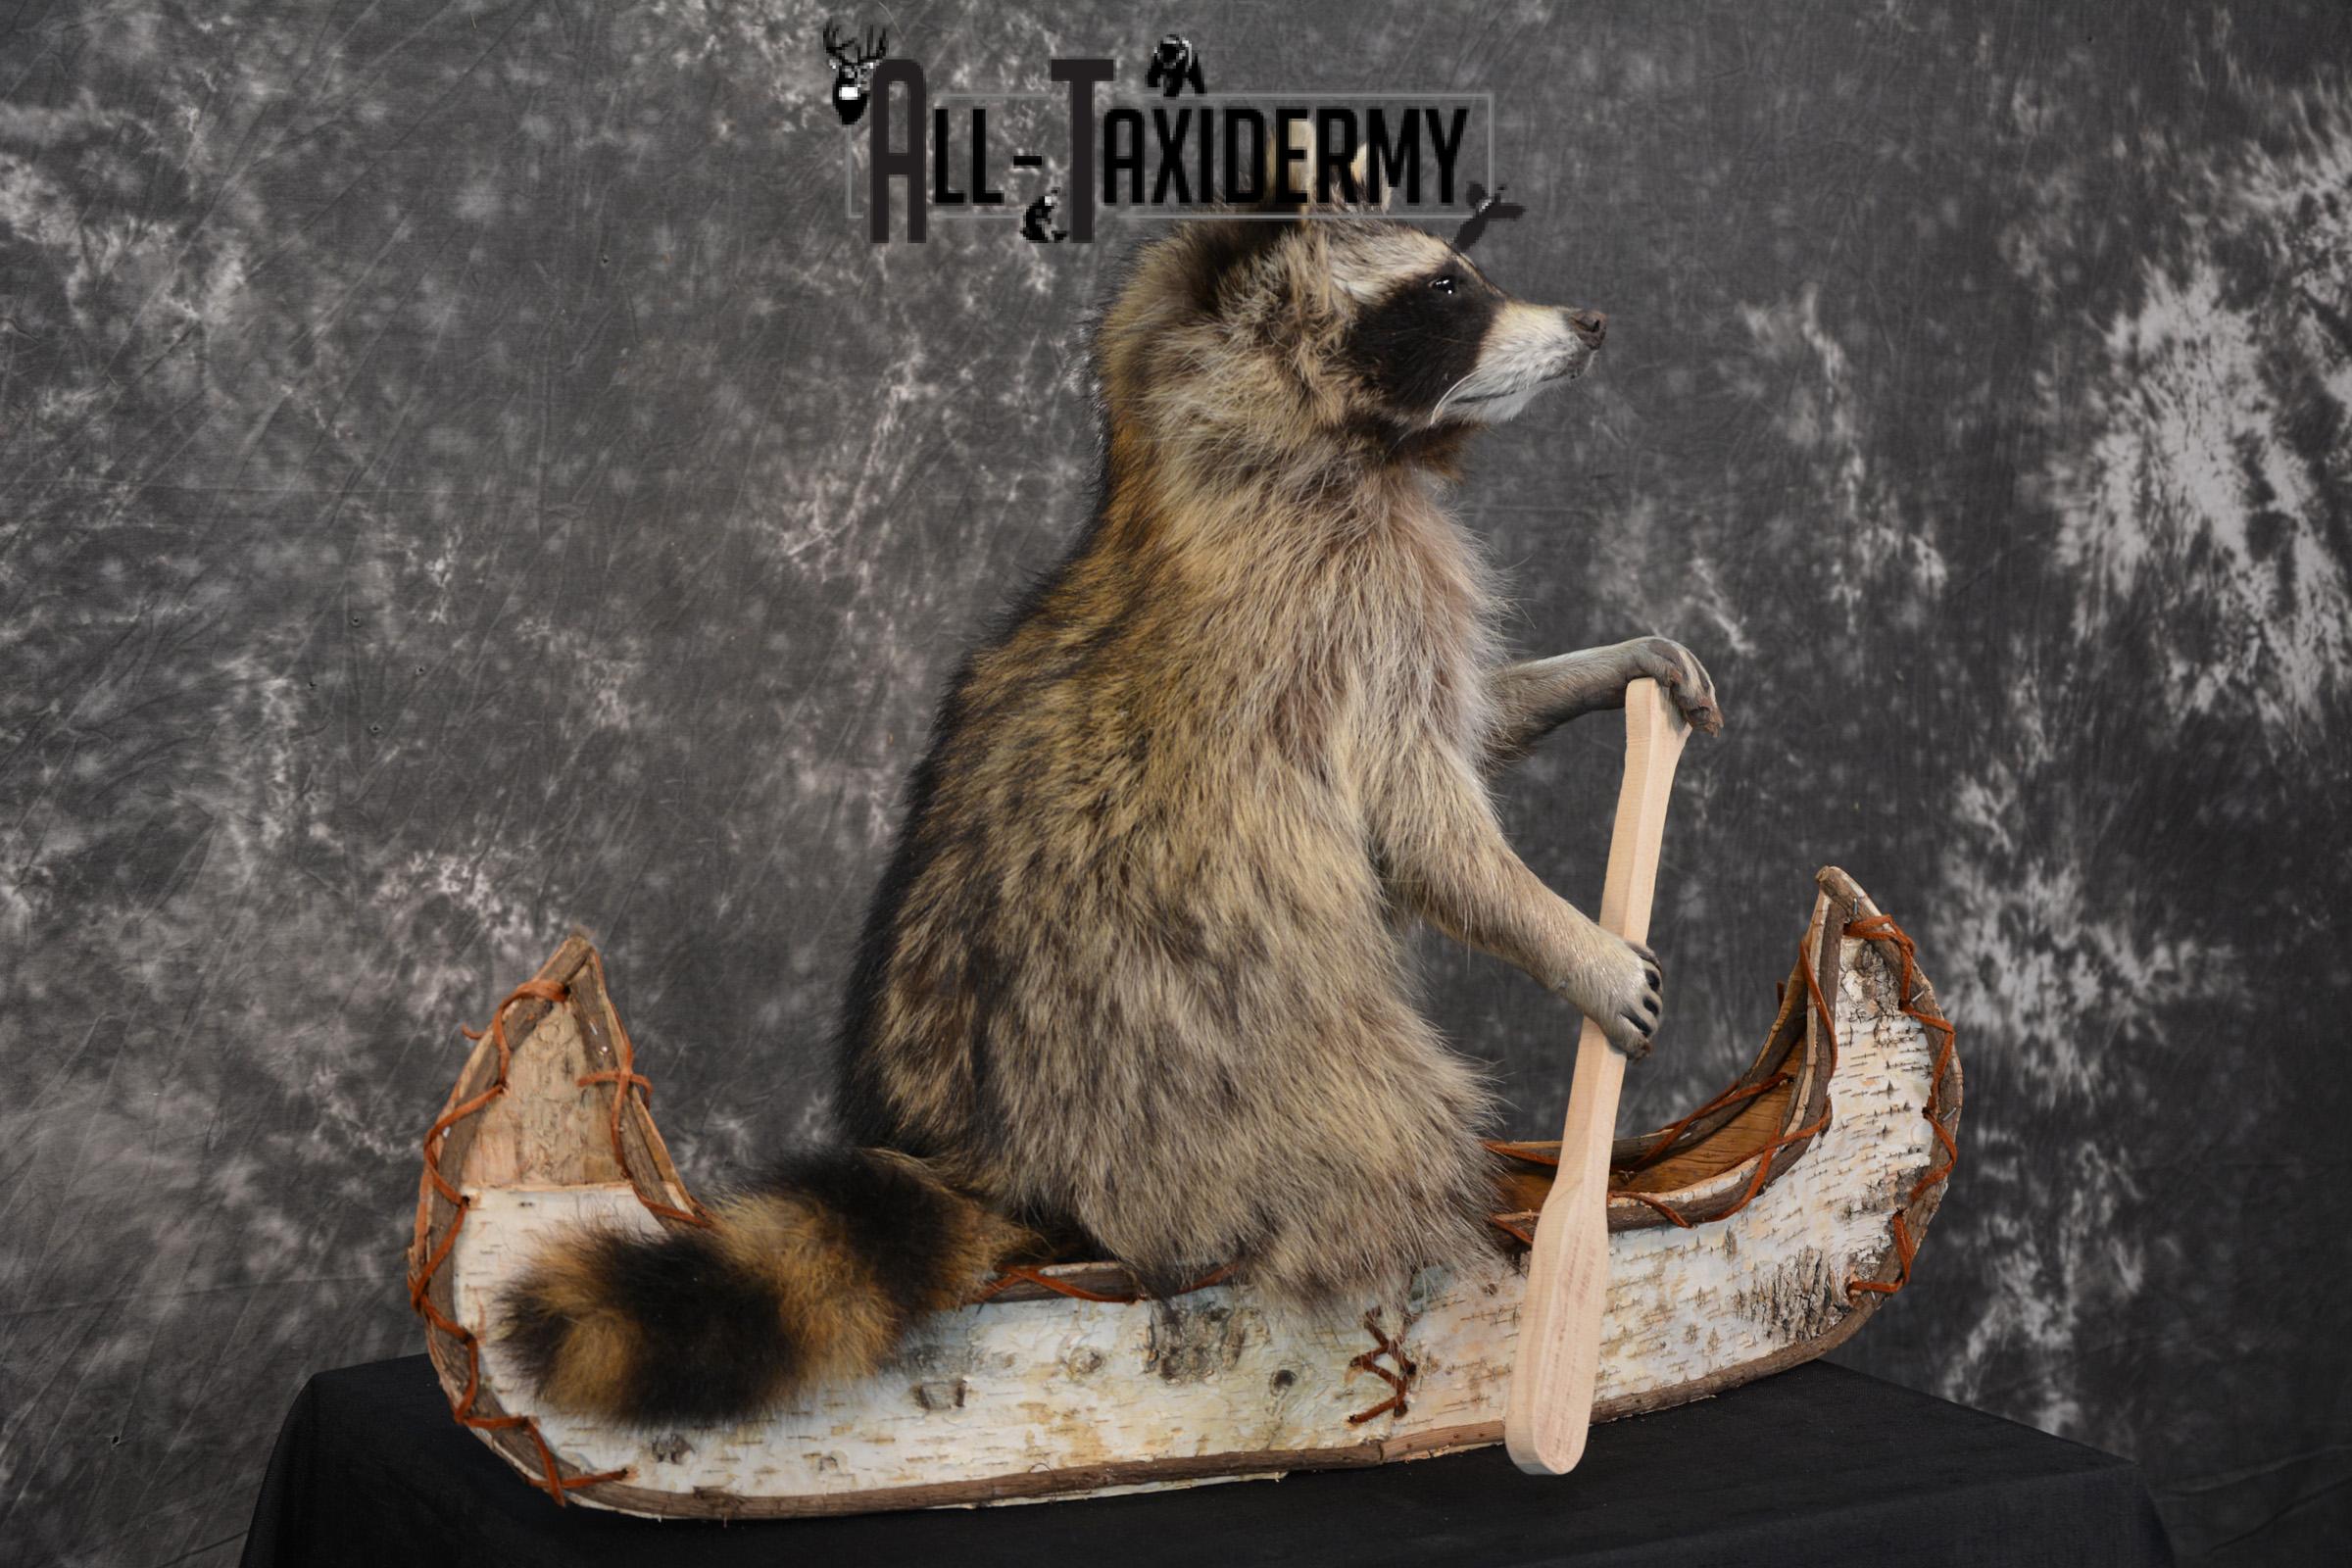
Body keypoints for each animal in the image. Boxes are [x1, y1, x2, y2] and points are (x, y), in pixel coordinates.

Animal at [501, 173, 1723, 1428]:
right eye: (1443, 290)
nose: (1592, 323)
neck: (1276, 448)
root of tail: (994, 1167)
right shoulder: (1335, 617)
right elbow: (1426, 825)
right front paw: (1569, 940)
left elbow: (1475, 724)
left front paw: (1610, 666)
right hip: (1188, 1079)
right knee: (1378, 1130)